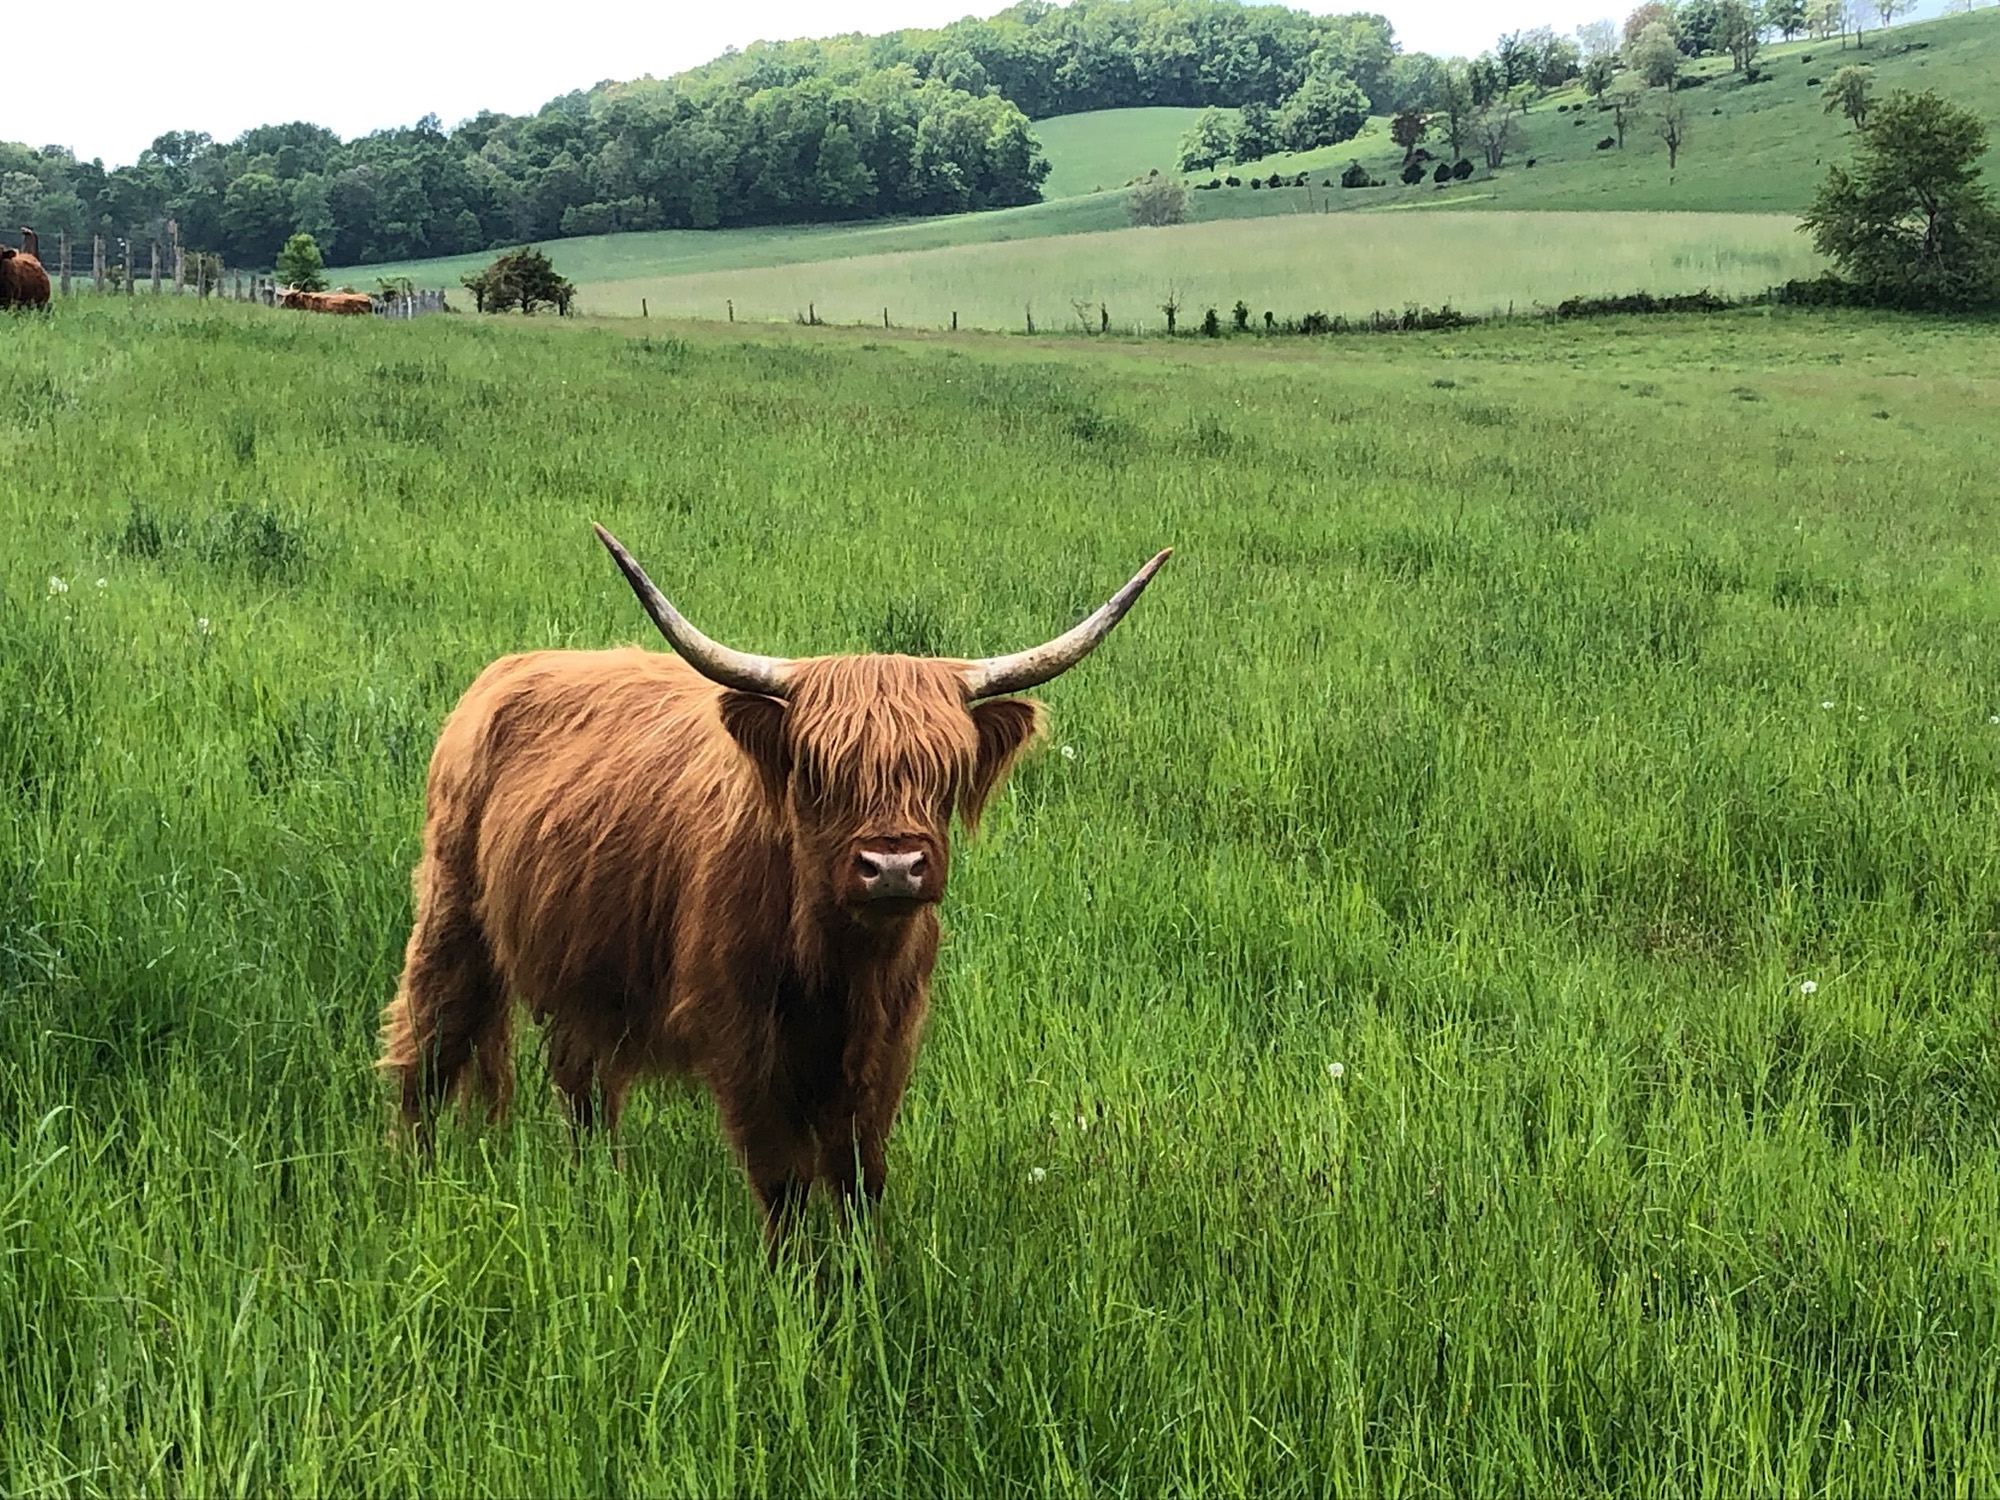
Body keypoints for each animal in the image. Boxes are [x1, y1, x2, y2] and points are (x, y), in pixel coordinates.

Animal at [380, 526, 1169, 1244]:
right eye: (819, 773)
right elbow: (783, 1178)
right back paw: (412, 1184)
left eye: (943, 770)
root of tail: (508, 670)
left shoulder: (888, 1041)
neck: (841, 964)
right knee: (427, 1046)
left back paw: (598, 1187)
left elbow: (860, 1175)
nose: (892, 868)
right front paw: (794, 1285)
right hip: (452, 915)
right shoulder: (745, 1038)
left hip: (592, 971)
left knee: (584, 1085)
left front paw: (861, 1281)